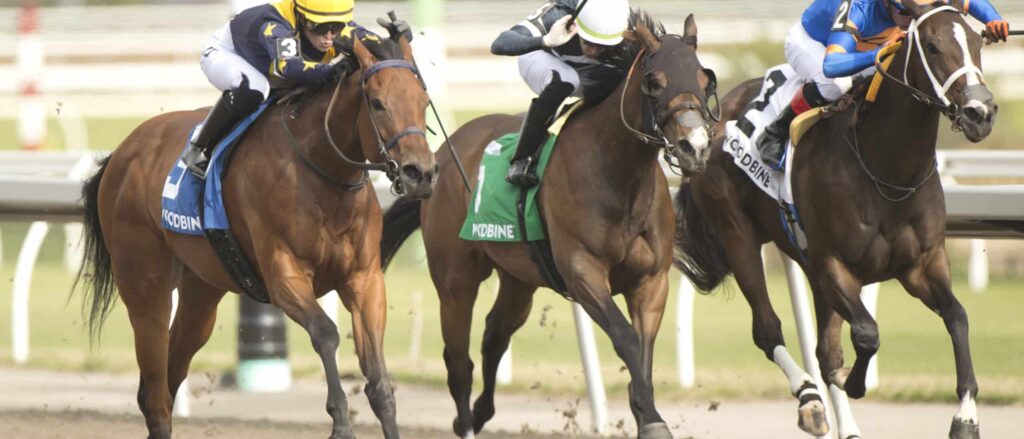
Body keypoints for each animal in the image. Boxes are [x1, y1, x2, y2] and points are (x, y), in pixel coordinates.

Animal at [74, 31, 436, 437]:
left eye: (423, 101)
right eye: (376, 103)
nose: (421, 173)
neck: (323, 172)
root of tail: (121, 153)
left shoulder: (364, 279)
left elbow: (377, 375)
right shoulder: (283, 275)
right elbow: (325, 332)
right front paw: (341, 421)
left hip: (201, 293)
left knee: (168, 377)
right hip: (145, 286)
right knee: (155, 394)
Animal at [380, 11, 716, 437]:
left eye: (705, 80)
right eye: (655, 82)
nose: (695, 147)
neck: (619, 176)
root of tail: (438, 156)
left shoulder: (651, 281)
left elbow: (644, 348)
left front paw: (646, 414)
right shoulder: (582, 271)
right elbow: (625, 338)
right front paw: (652, 419)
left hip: (518, 278)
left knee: (494, 335)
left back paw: (481, 412)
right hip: (455, 280)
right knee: (458, 361)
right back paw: (465, 421)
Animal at [675, 1, 995, 435]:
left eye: (977, 41)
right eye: (931, 46)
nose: (981, 113)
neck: (888, 170)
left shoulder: (921, 265)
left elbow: (957, 318)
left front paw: (965, 416)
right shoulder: (834, 265)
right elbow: (867, 333)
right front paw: (856, 383)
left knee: (825, 350)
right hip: (738, 236)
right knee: (768, 330)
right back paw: (809, 401)